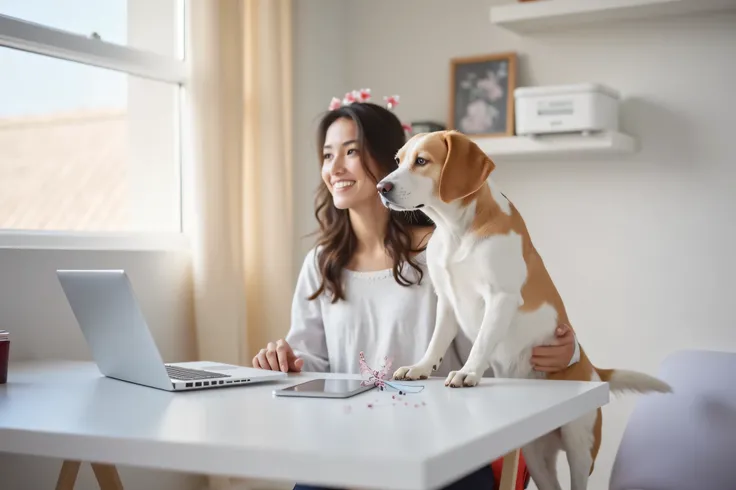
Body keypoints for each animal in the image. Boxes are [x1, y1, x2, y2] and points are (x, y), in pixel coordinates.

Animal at [376, 130, 668, 490]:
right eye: (397, 160)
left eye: (421, 161)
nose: (381, 187)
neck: (456, 231)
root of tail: (592, 370)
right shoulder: (447, 300)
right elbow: (435, 342)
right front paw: (420, 368)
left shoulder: (499, 297)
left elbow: (482, 342)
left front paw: (468, 373)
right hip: (535, 456)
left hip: (580, 448)